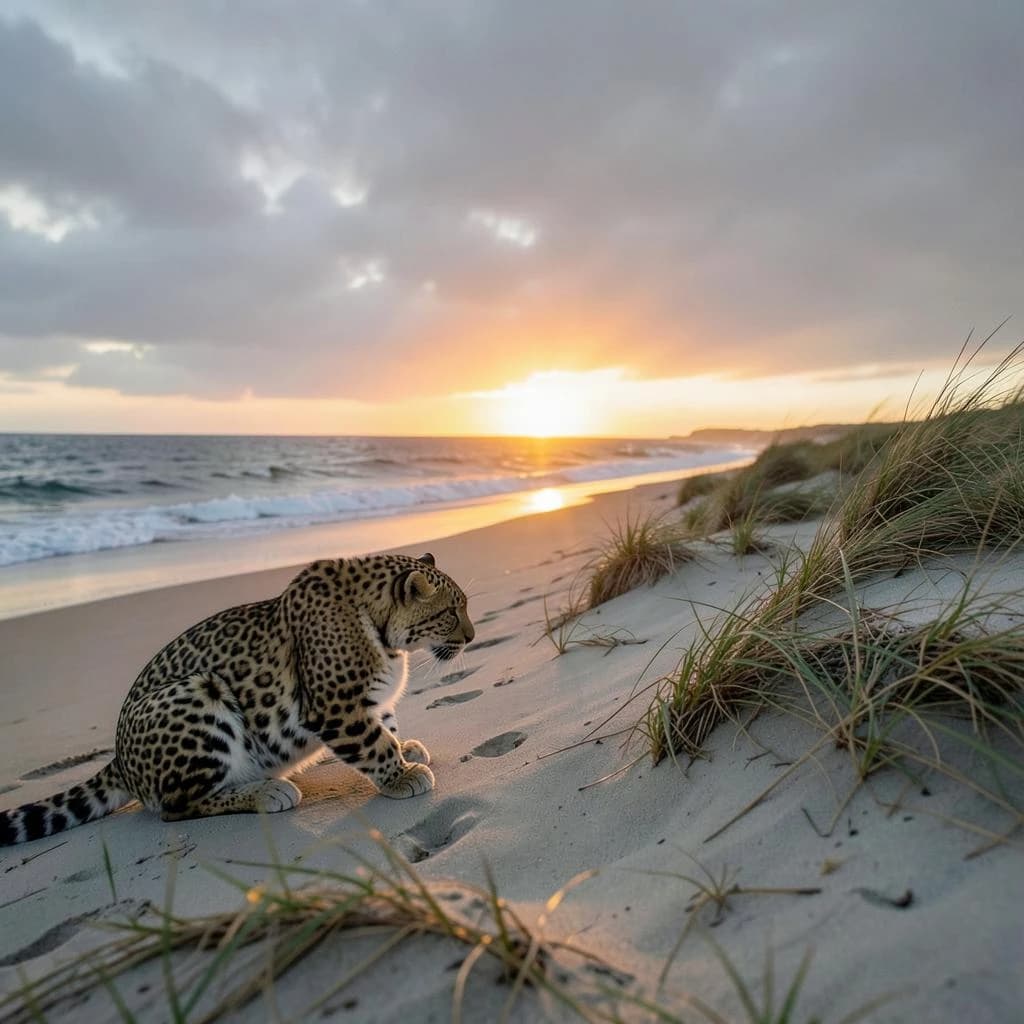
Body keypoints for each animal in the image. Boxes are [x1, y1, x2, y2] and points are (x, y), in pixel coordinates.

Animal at [0, 552, 474, 846]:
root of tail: (118, 758)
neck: (386, 635)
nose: (471, 637)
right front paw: (402, 775)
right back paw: (267, 792)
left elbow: (386, 727)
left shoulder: (369, 701)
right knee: (175, 806)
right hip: (199, 693)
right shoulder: (335, 706)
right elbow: (373, 742)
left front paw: (407, 749)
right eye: (450, 613)